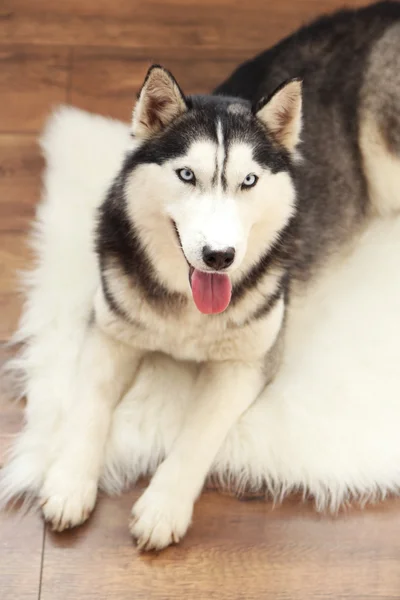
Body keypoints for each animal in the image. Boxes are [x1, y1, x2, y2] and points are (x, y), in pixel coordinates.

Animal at [2, 2, 400, 552]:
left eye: (248, 181)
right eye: (187, 175)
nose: (219, 257)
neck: (186, 314)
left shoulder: (247, 361)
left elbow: (198, 430)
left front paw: (162, 505)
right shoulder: (111, 330)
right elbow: (89, 405)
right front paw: (68, 481)